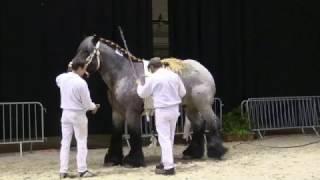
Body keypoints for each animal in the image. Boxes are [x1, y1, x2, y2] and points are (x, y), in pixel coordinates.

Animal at [72, 36, 228, 167]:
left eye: (86, 51)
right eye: (79, 50)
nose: (71, 66)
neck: (123, 73)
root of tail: (203, 70)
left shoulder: (132, 112)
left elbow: (135, 133)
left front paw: (133, 160)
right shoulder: (117, 112)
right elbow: (116, 133)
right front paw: (113, 159)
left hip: (203, 105)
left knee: (213, 122)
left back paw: (217, 152)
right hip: (190, 107)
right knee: (199, 125)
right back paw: (193, 153)